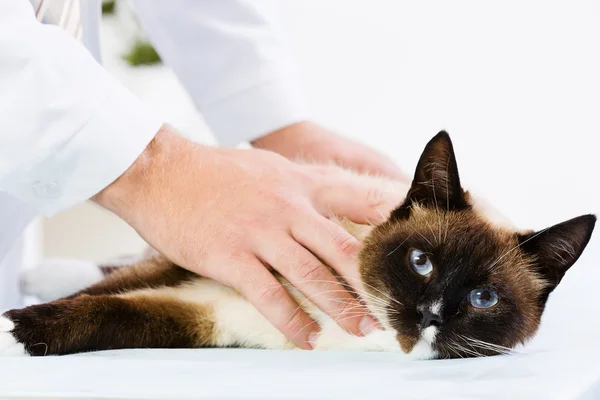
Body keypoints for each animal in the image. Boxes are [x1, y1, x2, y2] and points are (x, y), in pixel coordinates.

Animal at [1, 132, 596, 360]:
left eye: (482, 300)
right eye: (421, 263)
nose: (430, 314)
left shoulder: (214, 317)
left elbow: (117, 314)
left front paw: (27, 332)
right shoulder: (204, 270)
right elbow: (103, 294)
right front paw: (19, 325)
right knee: (112, 270)